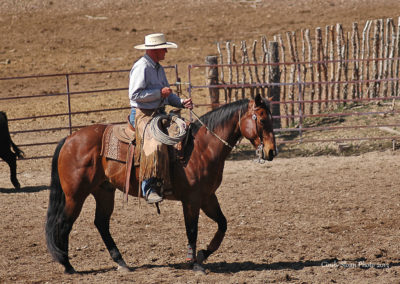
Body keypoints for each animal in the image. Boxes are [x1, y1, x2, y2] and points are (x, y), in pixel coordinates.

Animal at [45, 92, 276, 272]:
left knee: (101, 223)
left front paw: (203, 254)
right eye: (262, 120)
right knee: (64, 223)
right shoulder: (191, 200)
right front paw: (194, 263)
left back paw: (121, 262)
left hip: (104, 191)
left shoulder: (208, 197)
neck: (200, 148)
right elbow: (192, 229)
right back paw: (67, 265)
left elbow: (222, 224)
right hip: (75, 195)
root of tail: (69, 139)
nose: (271, 152)